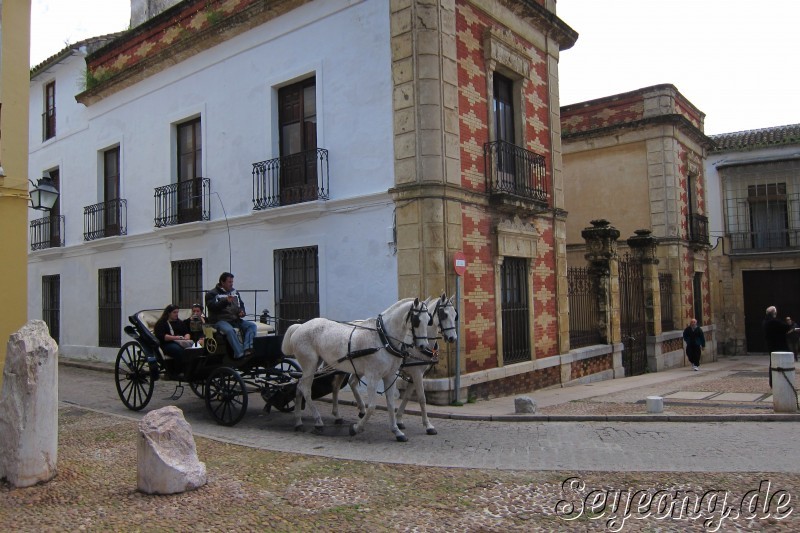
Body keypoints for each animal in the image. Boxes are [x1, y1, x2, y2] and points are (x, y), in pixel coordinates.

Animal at [282, 296, 432, 440]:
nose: (423, 346)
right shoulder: (372, 377)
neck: (383, 339)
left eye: (429, 320)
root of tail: (300, 326)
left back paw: (298, 422)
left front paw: (397, 431)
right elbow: (371, 407)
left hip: (314, 364)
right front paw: (356, 428)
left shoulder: (389, 376)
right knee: (306, 389)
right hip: (310, 364)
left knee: (299, 386)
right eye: (417, 320)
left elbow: (390, 404)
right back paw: (318, 422)